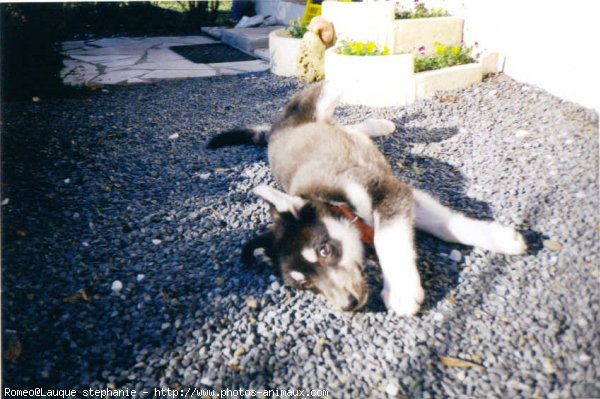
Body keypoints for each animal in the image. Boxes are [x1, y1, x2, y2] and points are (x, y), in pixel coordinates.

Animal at [209, 81, 528, 318]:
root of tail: (276, 129)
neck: (334, 202)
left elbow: (389, 238)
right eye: (307, 284)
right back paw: (379, 126)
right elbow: (443, 225)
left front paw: (400, 288)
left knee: (336, 79)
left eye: (324, 250)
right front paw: (500, 238)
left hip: (319, 98)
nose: (348, 305)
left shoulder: (388, 192)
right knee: (349, 127)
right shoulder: (402, 195)